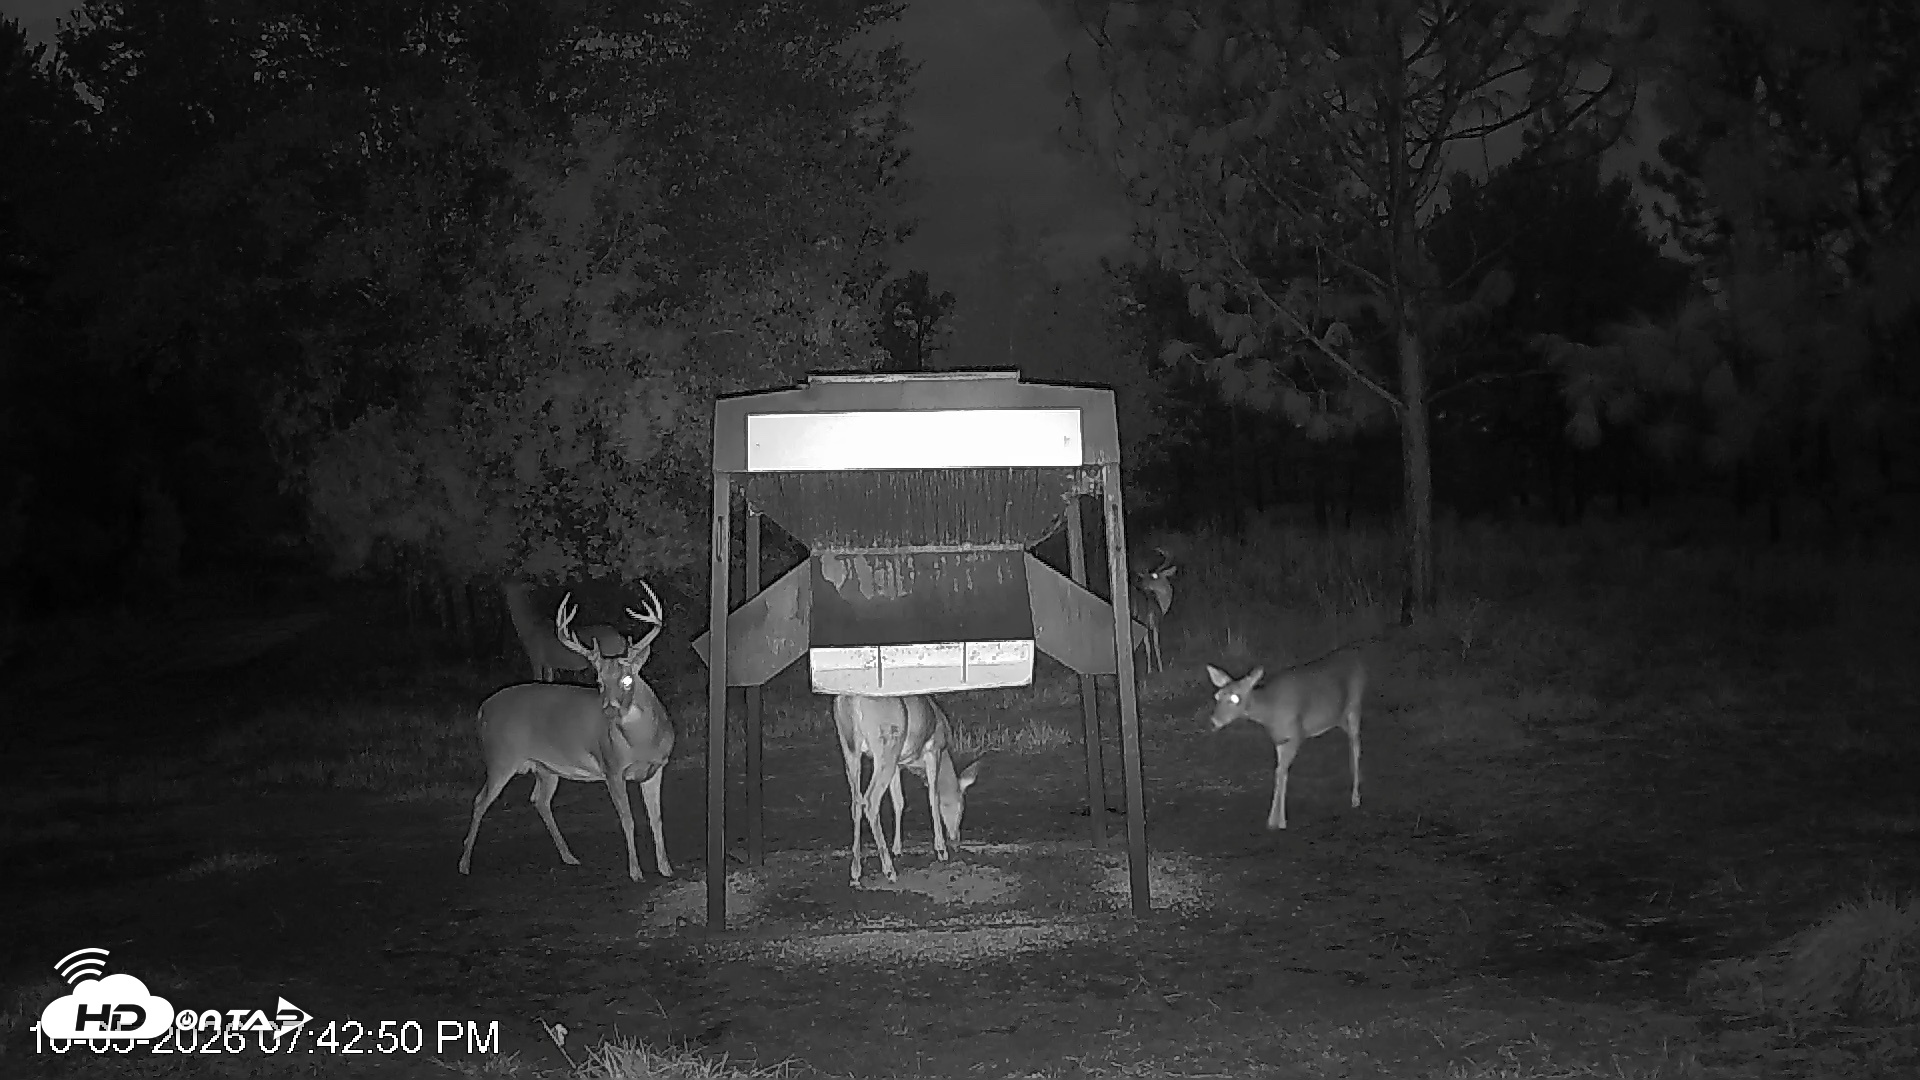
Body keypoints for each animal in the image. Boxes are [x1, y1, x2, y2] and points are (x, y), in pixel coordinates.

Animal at [833, 693, 982, 886]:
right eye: (962, 808)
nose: (956, 840)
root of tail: (851, 700)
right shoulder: (933, 750)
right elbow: (933, 797)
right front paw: (941, 850)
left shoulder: (898, 764)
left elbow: (899, 802)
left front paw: (897, 848)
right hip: (887, 745)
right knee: (871, 801)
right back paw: (889, 870)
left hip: (850, 749)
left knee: (856, 803)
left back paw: (856, 872)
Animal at [1206, 650, 1365, 830]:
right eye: (1217, 696)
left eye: (1235, 698)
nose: (1214, 722)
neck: (1269, 711)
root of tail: (1356, 658)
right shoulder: (1280, 740)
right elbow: (1279, 772)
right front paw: (1273, 820)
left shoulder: (1296, 734)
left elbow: (1282, 772)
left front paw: (1279, 822)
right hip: (1339, 717)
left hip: (1355, 705)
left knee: (1356, 745)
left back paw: (1355, 798)